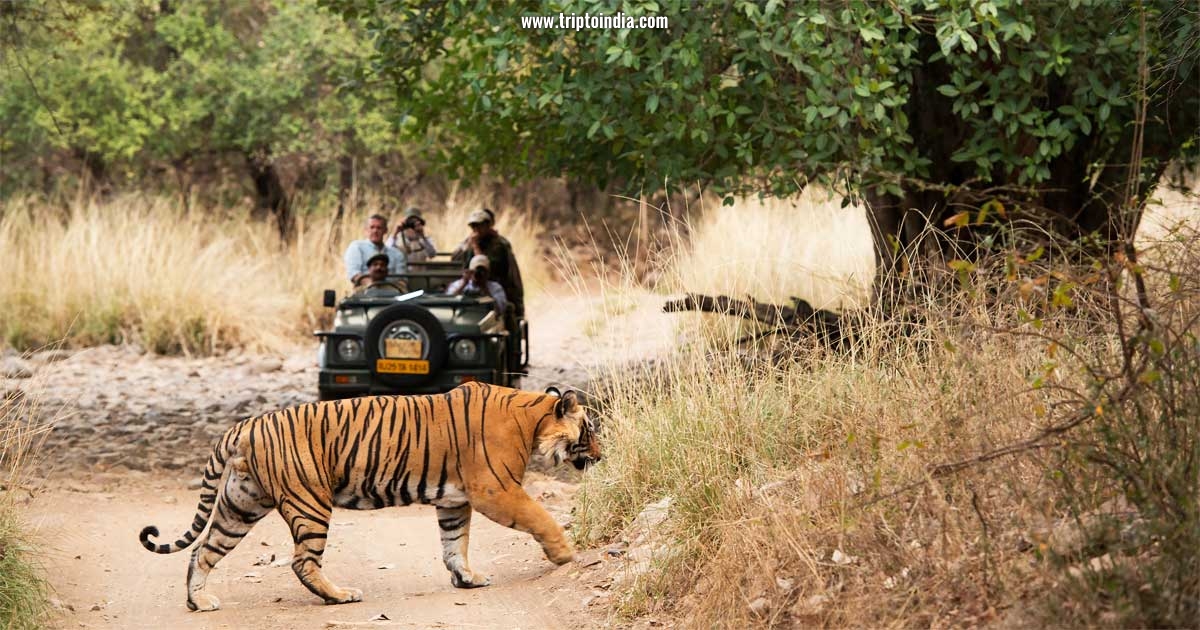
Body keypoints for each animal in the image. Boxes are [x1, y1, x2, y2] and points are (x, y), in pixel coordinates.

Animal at [138, 379, 600, 609]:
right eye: (590, 430)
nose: (600, 453)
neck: (533, 419)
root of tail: (243, 426)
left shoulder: (454, 501)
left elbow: (455, 544)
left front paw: (467, 579)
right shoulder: (495, 489)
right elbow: (540, 517)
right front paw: (565, 553)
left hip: (240, 506)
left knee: (202, 551)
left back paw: (199, 601)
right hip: (309, 503)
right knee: (302, 561)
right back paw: (339, 596)